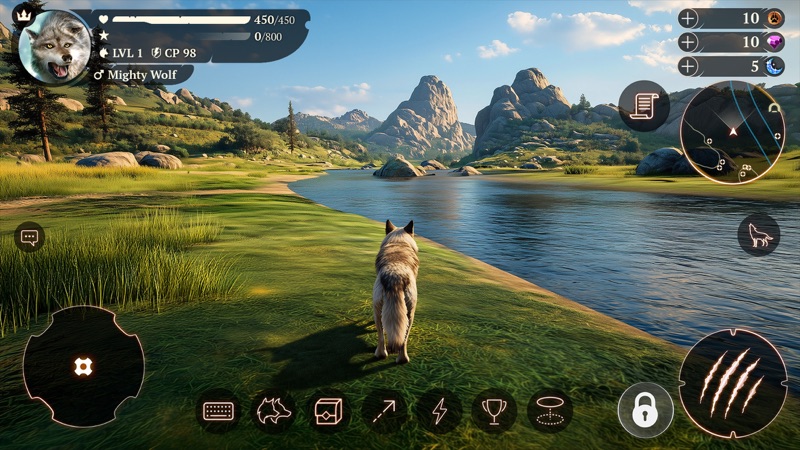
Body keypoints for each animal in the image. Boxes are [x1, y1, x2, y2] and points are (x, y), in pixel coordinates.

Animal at [373, 220, 419, 364]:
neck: (399, 241)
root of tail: (395, 276)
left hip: (380, 309)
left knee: (383, 335)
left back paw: (385, 355)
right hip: (410, 312)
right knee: (401, 339)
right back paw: (399, 358)